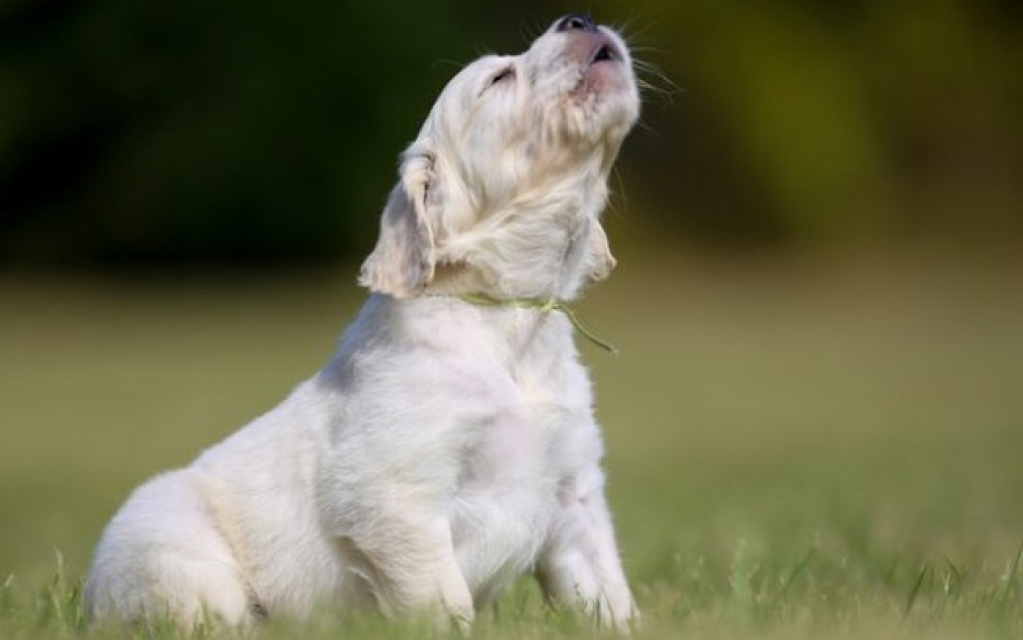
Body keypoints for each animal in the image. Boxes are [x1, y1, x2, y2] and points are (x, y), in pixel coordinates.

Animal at [83, 12, 638, 629]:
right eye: (498, 80)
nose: (579, 19)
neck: (506, 317)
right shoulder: (398, 499)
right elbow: (443, 603)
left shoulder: (574, 495)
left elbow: (608, 596)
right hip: (175, 555)